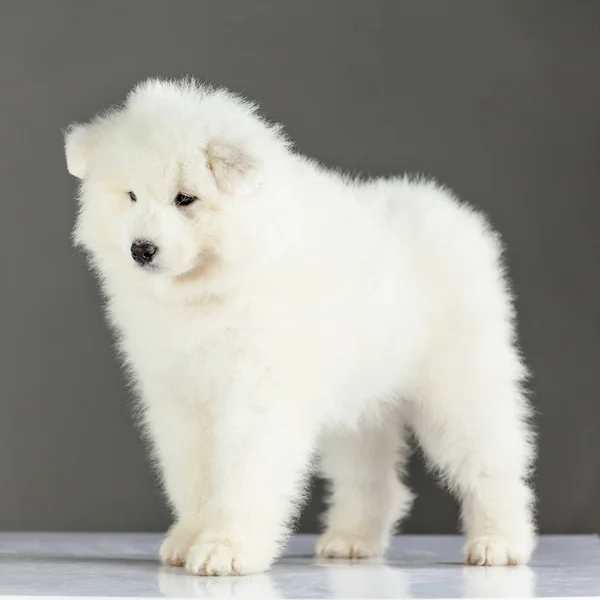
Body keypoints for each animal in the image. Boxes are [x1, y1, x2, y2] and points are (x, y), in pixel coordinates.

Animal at [63, 77, 536, 576]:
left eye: (185, 198)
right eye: (131, 196)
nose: (141, 249)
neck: (211, 289)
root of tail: (452, 212)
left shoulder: (257, 392)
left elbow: (244, 474)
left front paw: (225, 548)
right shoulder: (180, 398)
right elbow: (193, 475)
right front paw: (189, 538)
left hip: (460, 383)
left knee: (491, 464)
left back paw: (499, 542)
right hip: (362, 401)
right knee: (372, 476)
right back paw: (351, 540)